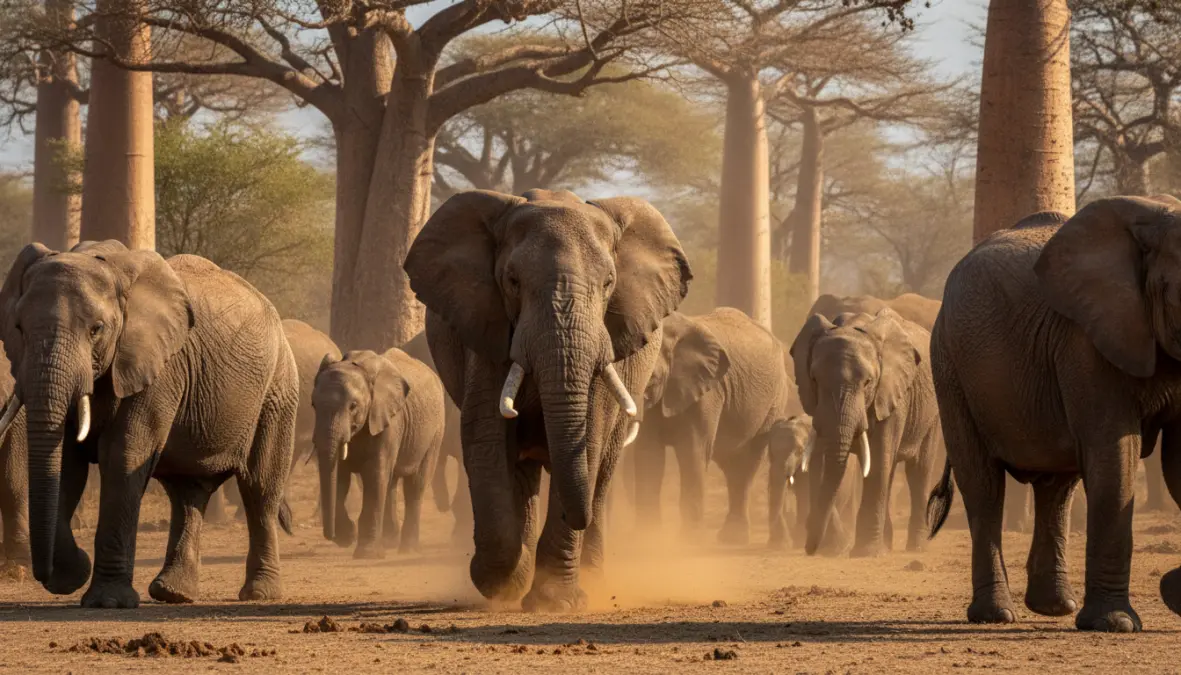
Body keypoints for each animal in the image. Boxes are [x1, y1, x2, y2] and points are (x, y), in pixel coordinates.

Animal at [0, 241, 299, 608]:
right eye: (19, 329)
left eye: (96, 329)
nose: (44, 574)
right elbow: (68, 463)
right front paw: (72, 576)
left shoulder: (158, 369)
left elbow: (122, 455)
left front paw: (107, 602)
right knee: (188, 492)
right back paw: (173, 593)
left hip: (278, 390)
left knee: (260, 488)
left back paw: (258, 593)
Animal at [313, 348, 443, 558]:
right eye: (313, 405)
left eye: (353, 406)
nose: (330, 535)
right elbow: (340, 477)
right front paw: (347, 537)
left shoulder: (389, 421)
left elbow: (374, 476)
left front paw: (366, 554)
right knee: (391, 483)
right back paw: (390, 542)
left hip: (435, 433)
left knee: (415, 486)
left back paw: (407, 549)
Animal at [631, 308, 801, 546]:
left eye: (651, 377)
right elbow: (648, 455)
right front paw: (647, 540)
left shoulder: (708, 393)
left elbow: (692, 452)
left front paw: (688, 542)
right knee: (733, 465)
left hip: (773, 403)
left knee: (746, 465)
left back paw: (733, 538)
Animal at [791, 309, 940, 557]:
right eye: (814, 379)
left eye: (868, 382)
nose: (809, 549)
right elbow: (820, 462)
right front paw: (834, 548)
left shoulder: (891, 395)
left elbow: (878, 461)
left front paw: (866, 552)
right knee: (892, 472)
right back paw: (886, 545)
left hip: (932, 412)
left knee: (919, 470)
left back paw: (916, 548)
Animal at [926, 198, 1181, 632]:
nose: (1169, 585)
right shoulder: (1085, 343)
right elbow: (1114, 456)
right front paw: (1116, 624)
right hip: (949, 363)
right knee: (983, 485)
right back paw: (997, 615)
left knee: (1057, 487)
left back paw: (1054, 607)